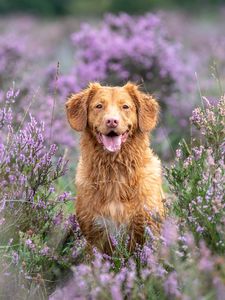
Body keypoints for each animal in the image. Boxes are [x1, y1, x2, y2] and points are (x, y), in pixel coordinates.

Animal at [66, 81, 164, 253]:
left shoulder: (150, 228)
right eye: (99, 106)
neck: (114, 171)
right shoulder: (95, 234)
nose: (112, 121)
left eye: (125, 106)